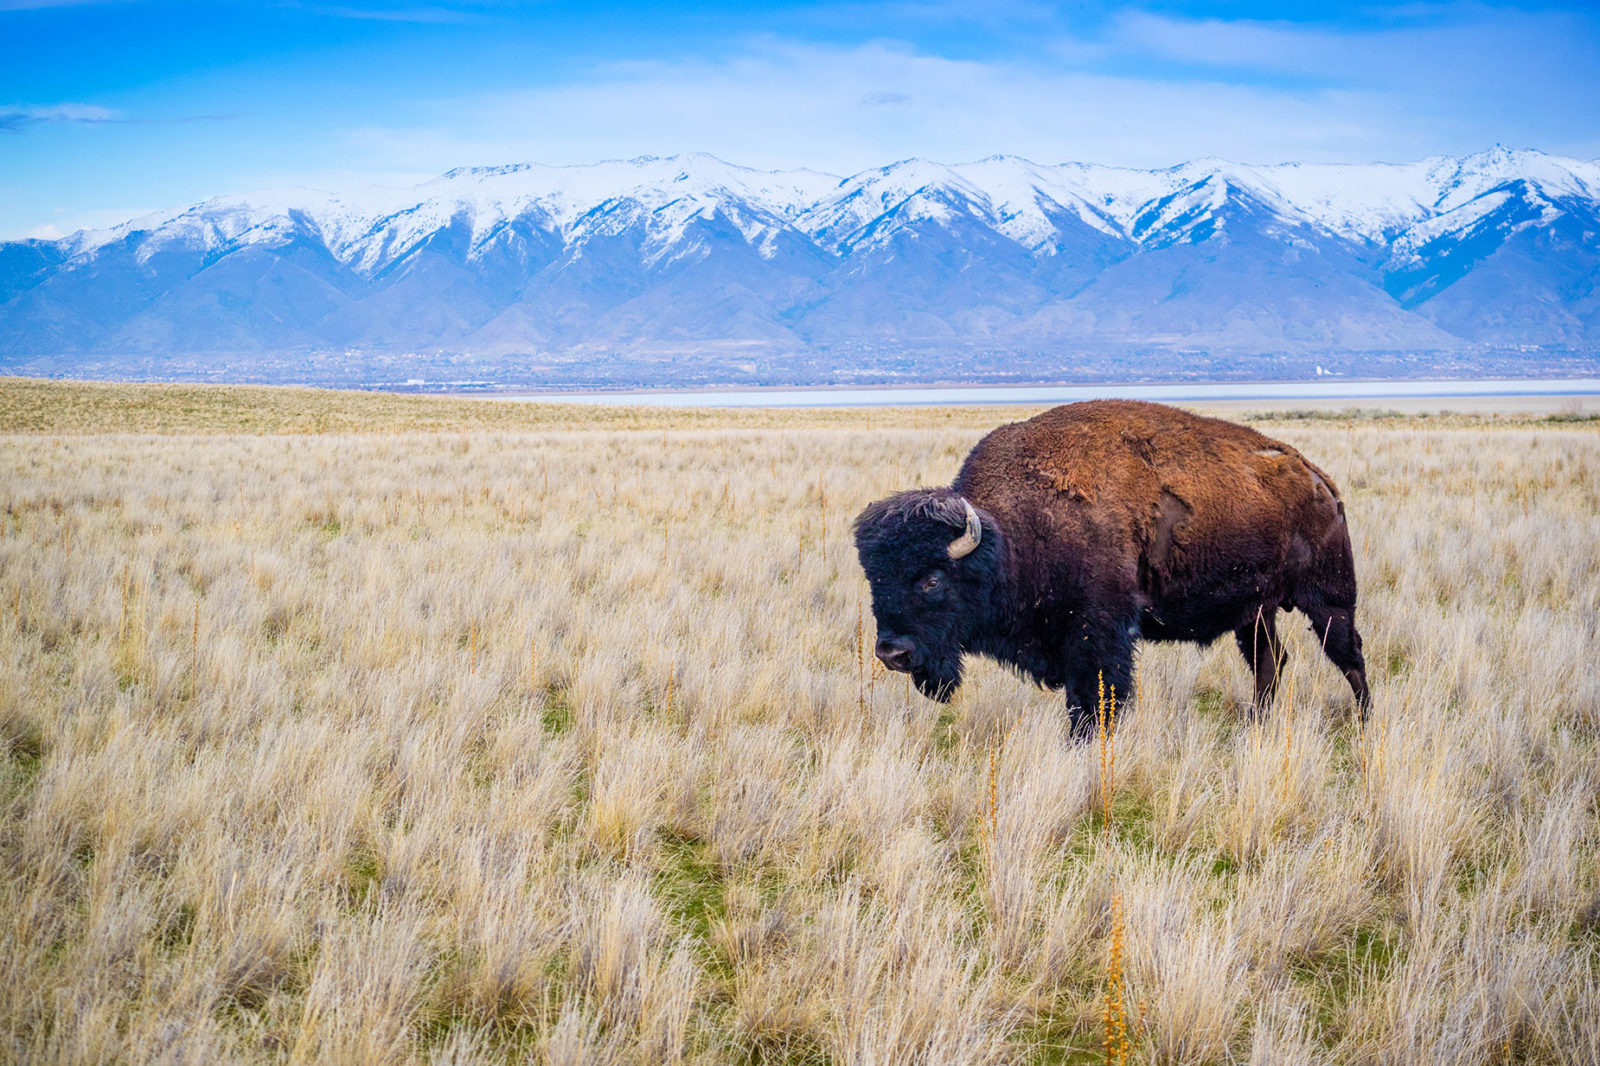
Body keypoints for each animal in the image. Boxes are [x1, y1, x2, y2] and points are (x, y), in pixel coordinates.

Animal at [857, 393, 1369, 736]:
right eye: (875, 580)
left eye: (932, 579)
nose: (891, 653)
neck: (1012, 535)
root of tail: (1319, 480)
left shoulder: (1098, 634)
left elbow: (1096, 698)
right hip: (1255, 611)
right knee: (1270, 662)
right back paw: (1256, 725)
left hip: (1328, 598)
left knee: (1348, 657)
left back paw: (1364, 721)